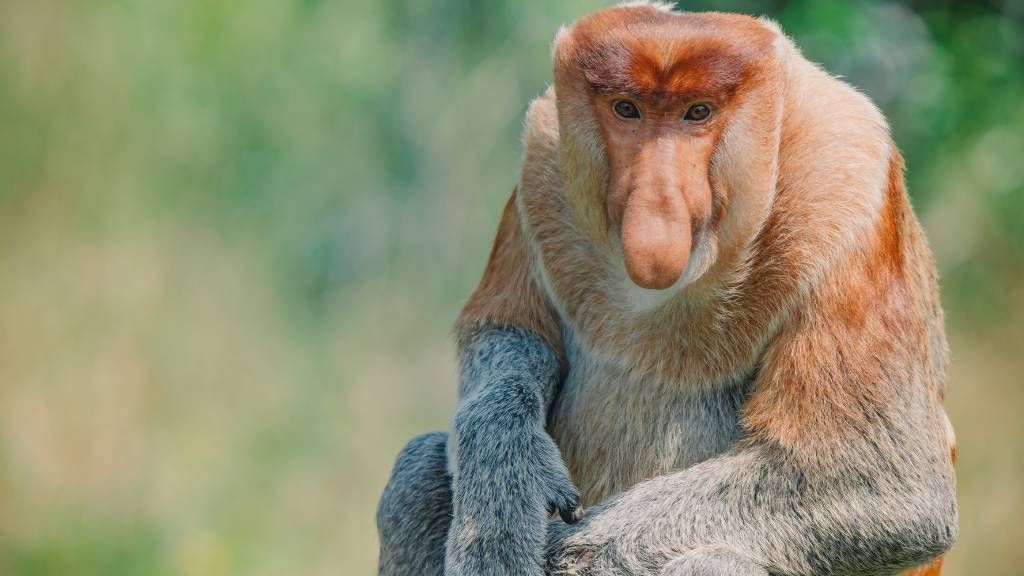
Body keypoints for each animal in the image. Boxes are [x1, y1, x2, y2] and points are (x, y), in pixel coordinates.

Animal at [376, 3, 958, 576]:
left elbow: (888, 488)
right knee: (417, 472)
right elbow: (508, 331)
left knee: (720, 562)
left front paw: (575, 558)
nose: (656, 202)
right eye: (627, 109)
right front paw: (504, 486)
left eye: (696, 112)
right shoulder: (542, 161)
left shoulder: (847, 186)